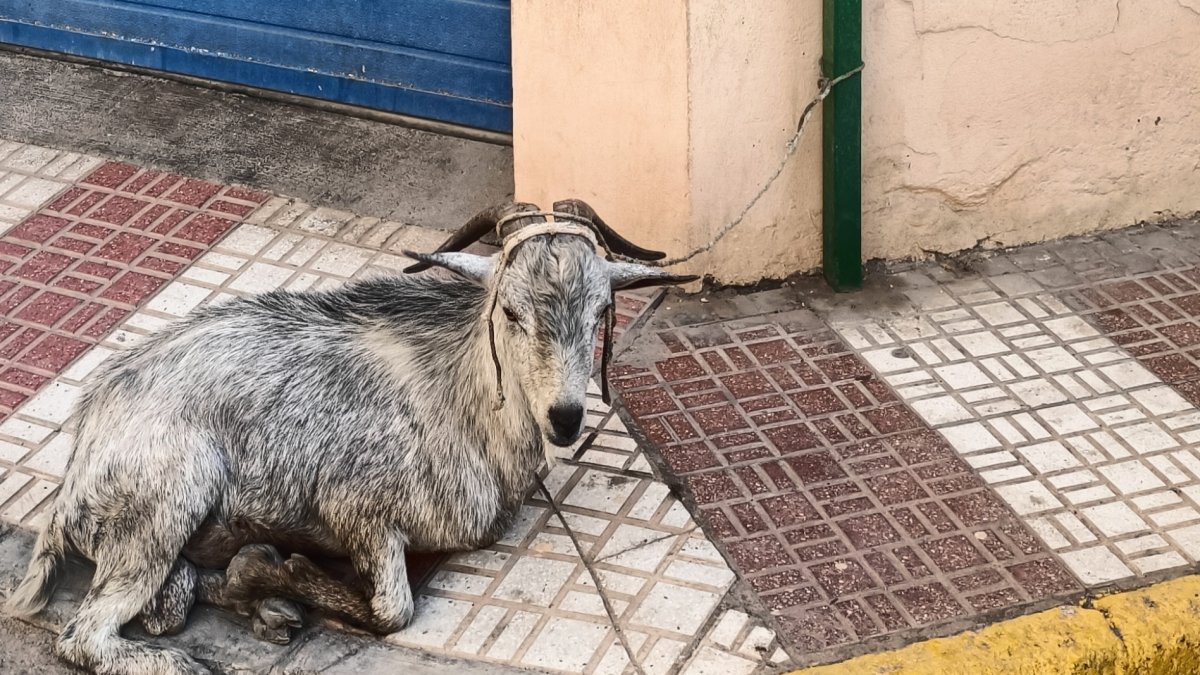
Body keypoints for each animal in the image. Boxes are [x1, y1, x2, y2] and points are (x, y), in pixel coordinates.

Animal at [4, 200, 694, 675]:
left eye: (601, 313)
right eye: (511, 311)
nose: (566, 417)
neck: (463, 398)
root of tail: (77, 467)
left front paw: (261, 578)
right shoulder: (357, 509)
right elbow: (394, 609)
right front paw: (275, 568)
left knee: (165, 603)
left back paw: (260, 605)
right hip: (163, 502)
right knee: (87, 635)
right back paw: (189, 650)